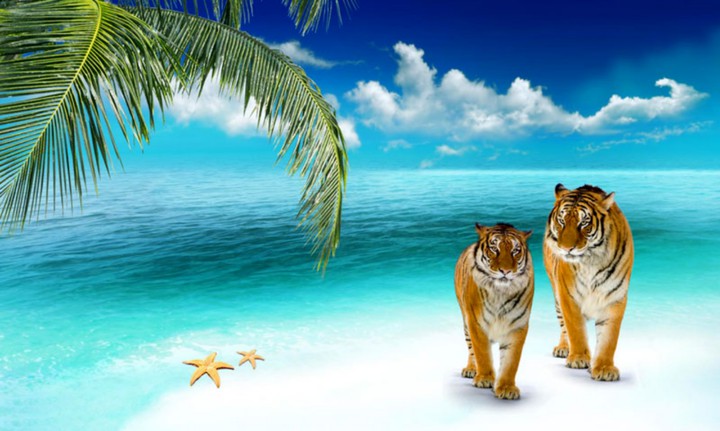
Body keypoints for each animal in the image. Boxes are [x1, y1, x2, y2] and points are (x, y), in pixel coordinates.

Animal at [455, 223, 534, 400]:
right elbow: (482, 353)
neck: (500, 292)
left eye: (515, 250)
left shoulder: (518, 325)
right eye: (494, 249)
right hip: (465, 322)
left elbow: (511, 361)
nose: (505, 271)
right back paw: (471, 370)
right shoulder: (476, 323)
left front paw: (506, 388)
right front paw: (485, 379)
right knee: (471, 349)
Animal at [543, 183, 634, 381]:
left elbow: (609, 338)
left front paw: (604, 368)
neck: (591, 261)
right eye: (561, 221)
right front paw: (578, 358)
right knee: (563, 325)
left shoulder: (614, 297)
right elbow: (575, 329)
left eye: (583, 223)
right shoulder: (568, 296)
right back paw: (564, 348)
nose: (566, 249)